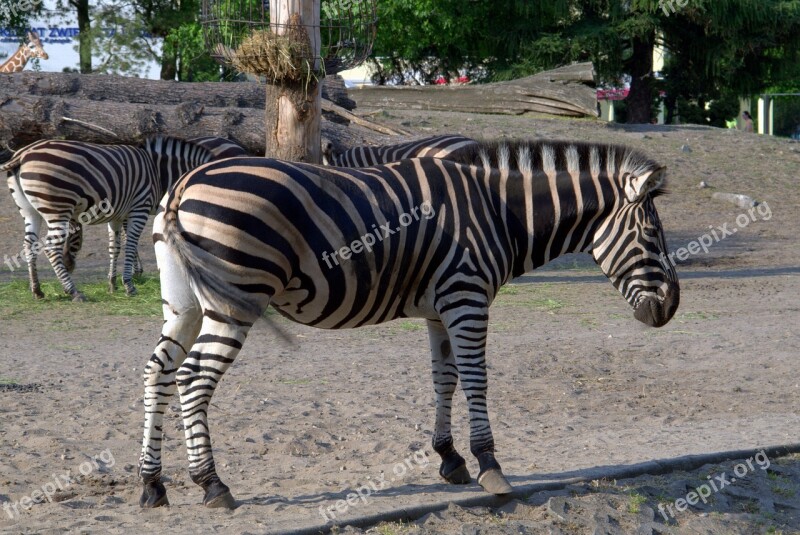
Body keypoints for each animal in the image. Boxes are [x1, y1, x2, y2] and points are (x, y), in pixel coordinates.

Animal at [3, 136, 222, 302]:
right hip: (58, 207)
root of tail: (23, 154)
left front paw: (112, 284)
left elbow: (114, 247)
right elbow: (130, 245)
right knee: (51, 248)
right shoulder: (139, 208)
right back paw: (73, 292)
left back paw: (37, 290)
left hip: (30, 211)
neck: (158, 172)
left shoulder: (117, 214)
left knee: (29, 245)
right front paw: (129, 285)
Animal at [139, 138, 680, 510]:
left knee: (158, 372)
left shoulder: (442, 309)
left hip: (184, 304)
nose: (671, 309)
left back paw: (153, 484)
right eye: (652, 235)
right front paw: (490, 466)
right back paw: (212, 485)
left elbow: (445, 379)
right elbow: (477, 380)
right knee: (193, 378)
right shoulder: (467, 297)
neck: (499, 213)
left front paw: (450, 458)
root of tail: (185, 183)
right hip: (235, 299)